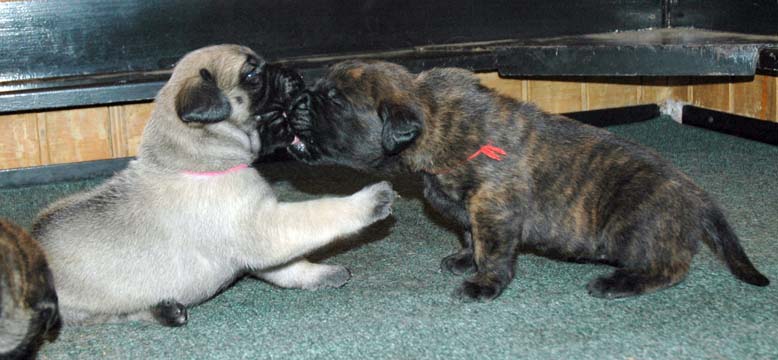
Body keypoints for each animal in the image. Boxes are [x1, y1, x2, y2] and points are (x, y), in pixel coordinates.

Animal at [284, 60, 764, 300]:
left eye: (334, 100)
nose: (295, 101)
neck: (437, 122)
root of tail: (699, 198)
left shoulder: (493, 208)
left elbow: (493, 250)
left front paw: (483, 283)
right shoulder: (473, 211)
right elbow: (470, 237)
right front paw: (465, 259)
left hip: (631, 226)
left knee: (672, 267)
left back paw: (618, 283)